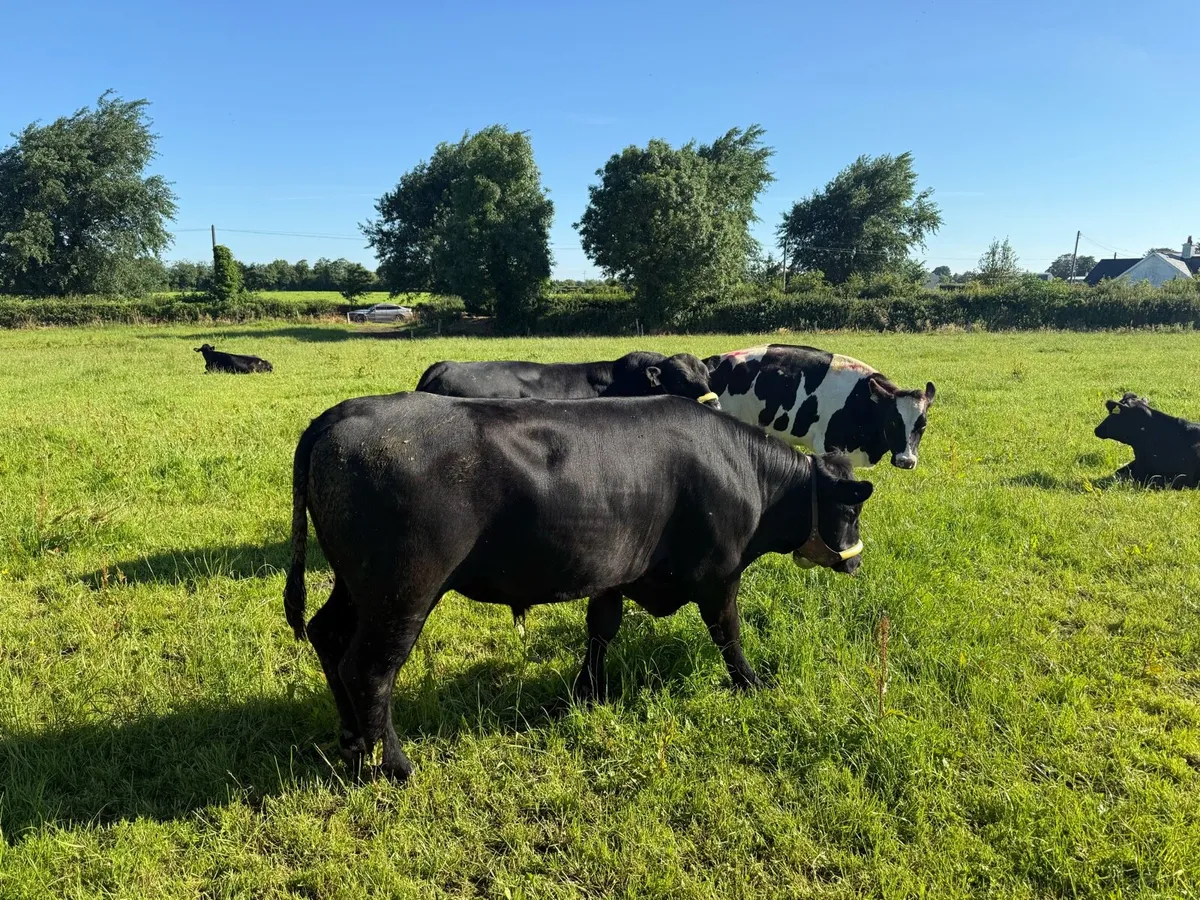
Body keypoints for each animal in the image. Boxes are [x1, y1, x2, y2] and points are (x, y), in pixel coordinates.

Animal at [284, 392, 873, 780]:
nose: (855, 561)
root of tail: (341, 415)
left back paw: (352, 741)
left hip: (356, 585)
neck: (745, 471)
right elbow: (728, 632)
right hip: (402, 592)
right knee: (370, 669)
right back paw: (395, 763)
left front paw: (588, 691)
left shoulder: (615, 568)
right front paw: (751, 683)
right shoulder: (721, 574)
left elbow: (601, 629)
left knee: (328, 637)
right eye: (850, 508)